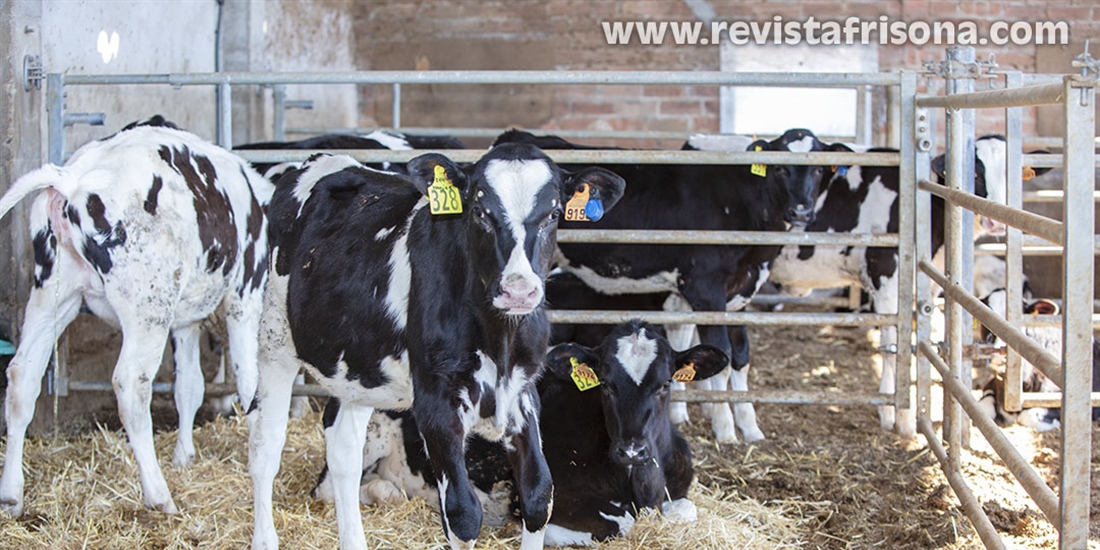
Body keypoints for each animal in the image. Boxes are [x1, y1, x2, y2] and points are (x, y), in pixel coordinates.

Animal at [0, 116, 271, 517]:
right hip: (148, 309)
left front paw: (184, 456)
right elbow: (249, 380)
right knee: (130, 385)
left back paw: (11, 494)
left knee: (22, 377)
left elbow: (189, 386)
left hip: (53, 296)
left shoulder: (185, 320)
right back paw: (159, 495)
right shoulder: (243, 297)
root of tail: (75, 176)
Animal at [246, 145, 626, 550]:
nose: (519, 291)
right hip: (274, 338)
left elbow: (539, 496)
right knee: (266, 444)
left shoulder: (523, 393)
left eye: (554, 213)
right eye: (480, 211)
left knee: (344, 450)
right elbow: (462, 514)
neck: (499, 340)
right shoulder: (435, 400)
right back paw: (264, 537)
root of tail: (324, 159)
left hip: (358, 369)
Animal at [311, 318, 729, 546]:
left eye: (665, 385)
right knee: (332, 488)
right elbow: (620, 525)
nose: (631, 450)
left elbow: (684, 510)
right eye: (606, 385)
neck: (640, 485)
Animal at [491, 129, 829, 444]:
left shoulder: (735, 296)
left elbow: (737, 356)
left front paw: (748, 426)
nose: (801, 211)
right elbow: (720, 356)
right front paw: (725, 428)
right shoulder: (707, 290)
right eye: (780, 168)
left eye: (817, 170)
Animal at [764, 135, 1049, 438]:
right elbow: (893, 347)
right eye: (975, 174)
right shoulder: (886, 277)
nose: (996, 221)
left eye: (1013, 174)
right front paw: (897, 417)